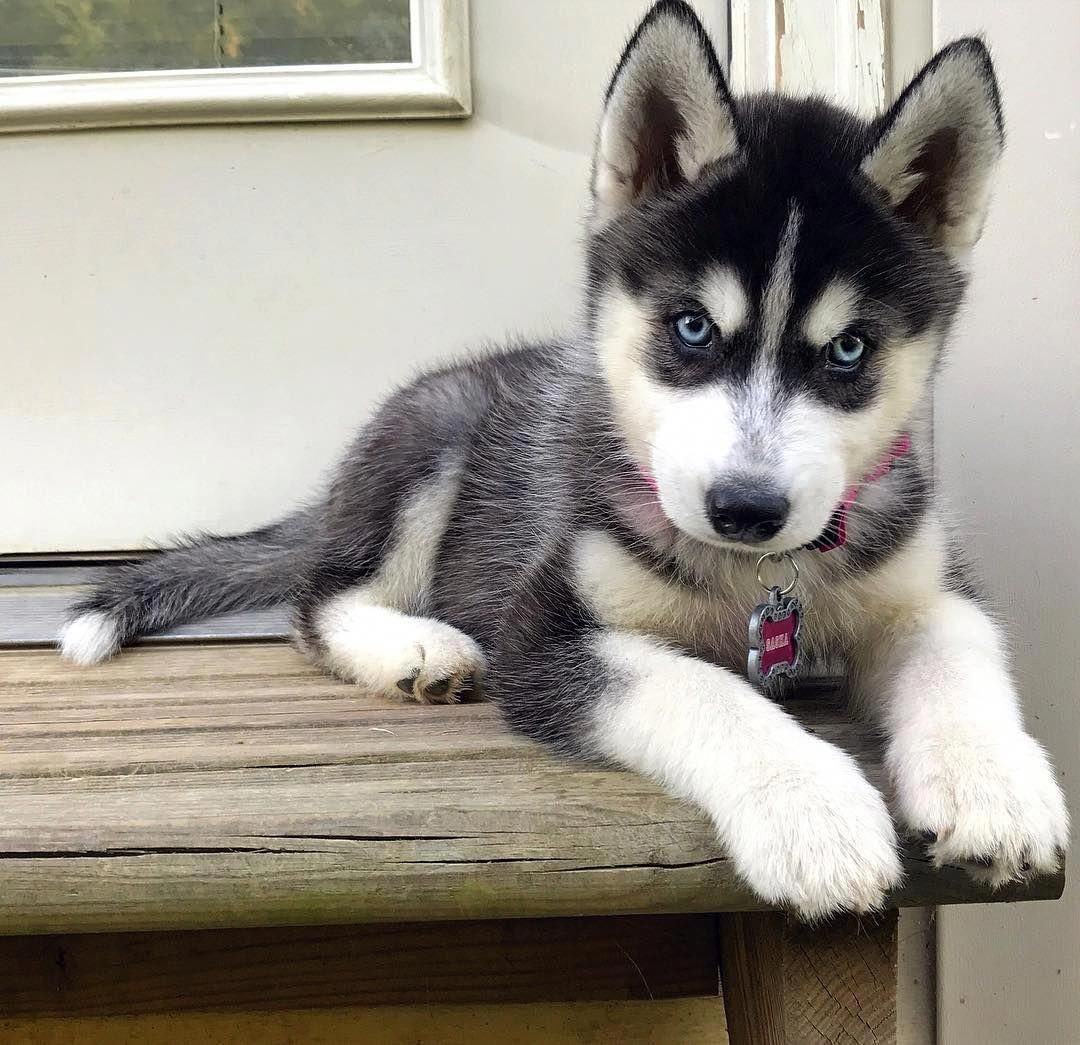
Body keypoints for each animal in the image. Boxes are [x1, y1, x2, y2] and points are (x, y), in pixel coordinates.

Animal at [59, 0, 1062, 919]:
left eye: (849, 350)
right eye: (691, 328)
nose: (746, 508)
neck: (755, 578)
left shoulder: (924, 584)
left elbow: (960, 651)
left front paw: (994, 783)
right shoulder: (546, 629)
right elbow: (703, 689)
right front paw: (811, 808)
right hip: (432, 437)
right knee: (317, 602)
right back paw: (414, 646)